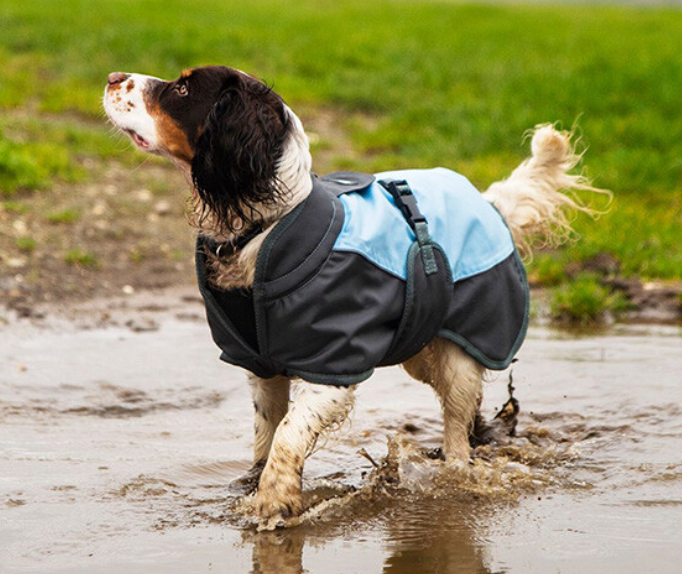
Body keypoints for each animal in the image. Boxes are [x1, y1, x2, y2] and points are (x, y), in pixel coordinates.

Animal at [103, 65, 604, 524]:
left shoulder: (331, 368)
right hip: (422, 348)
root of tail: (489, 201)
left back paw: (453, 475)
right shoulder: (263, 367)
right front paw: (252, 488)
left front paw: (275, 502)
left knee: (459, 432)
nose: (111, 77)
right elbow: (266, 434)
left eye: (183, 89)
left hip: (463, 352)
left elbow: (288, 433)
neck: (266, 230)